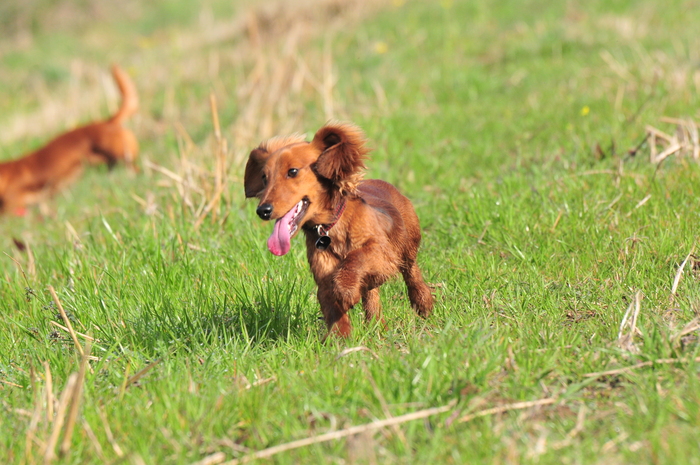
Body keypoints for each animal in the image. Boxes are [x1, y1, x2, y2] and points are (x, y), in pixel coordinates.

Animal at [245, 121, 432, 336]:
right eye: (264, 177)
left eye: (292, 171)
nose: (263, 211)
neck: (331, 229)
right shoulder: (323, 277)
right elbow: (333, 307)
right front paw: (340, 338)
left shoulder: (383, 253)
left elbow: (355, 258)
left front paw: (346, 291)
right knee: (371, 294)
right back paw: (376, 326)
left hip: (408, 248)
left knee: (412, 272)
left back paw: (423, 303)